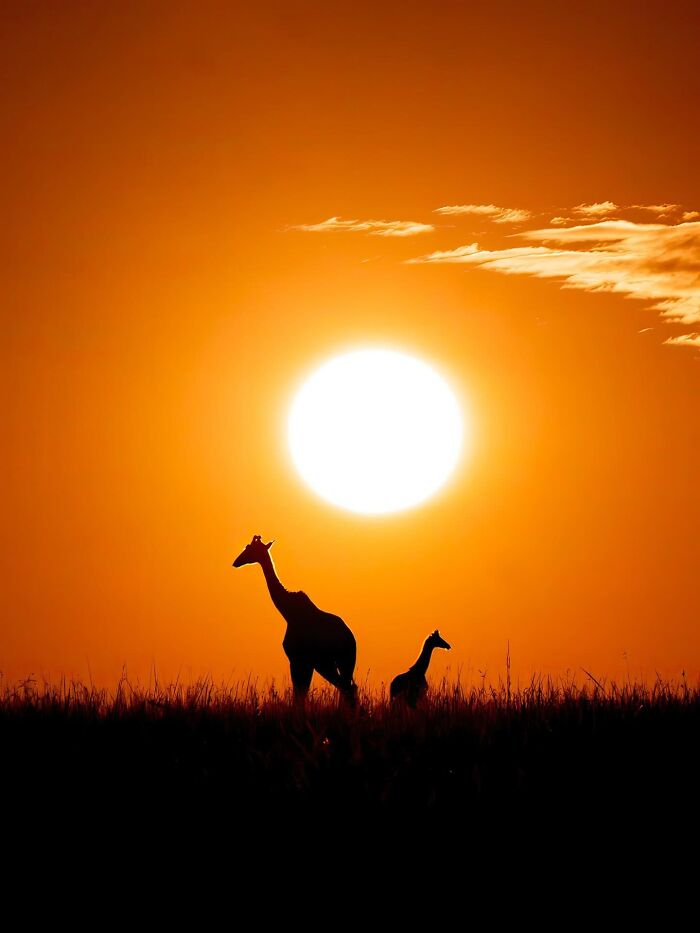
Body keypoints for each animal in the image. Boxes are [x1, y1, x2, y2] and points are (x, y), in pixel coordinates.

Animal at [232, 535, 358, 705]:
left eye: (249, 548)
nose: (236, 562)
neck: (288, 612)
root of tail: (350, 638)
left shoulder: (297, 659)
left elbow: (298, 693)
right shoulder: (305, 661)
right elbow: (301, 693)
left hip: (330, 662)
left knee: (346, 687)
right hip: (340, 662)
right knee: (348, 687)